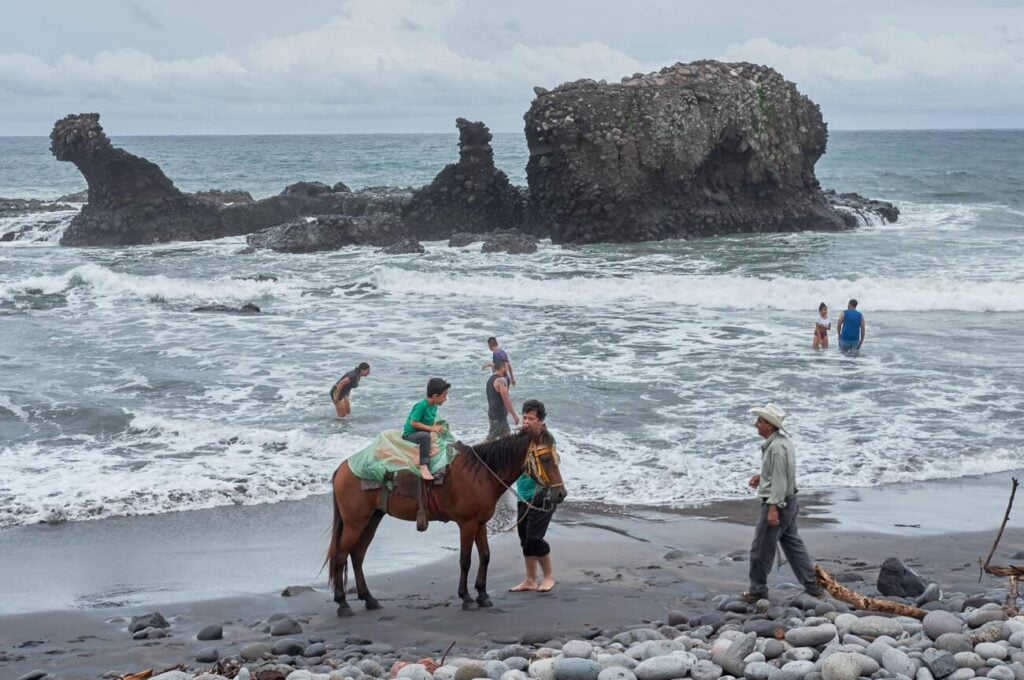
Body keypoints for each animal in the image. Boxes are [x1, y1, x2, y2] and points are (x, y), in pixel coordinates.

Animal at [327, 430, 569, 614]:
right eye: (546, 459)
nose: (561, 494)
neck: (480, 475)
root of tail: (343, 468)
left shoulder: (480, 523)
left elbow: (485, 556)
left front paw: (482, 594)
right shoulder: (467, 524)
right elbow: (465, 560)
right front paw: (467, 597)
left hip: (371, 519)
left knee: (357, 556)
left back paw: (368, 598)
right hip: (355, 522)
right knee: (340, 556)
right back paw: (342, 603)